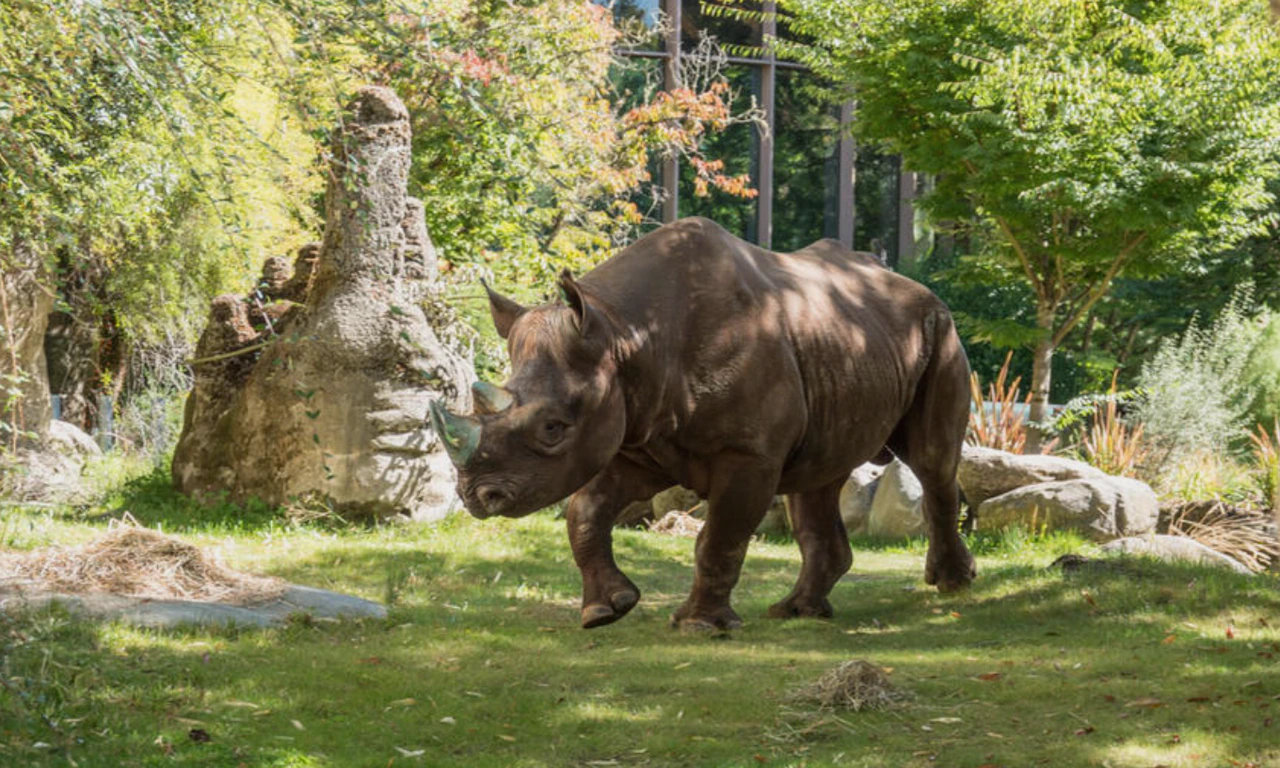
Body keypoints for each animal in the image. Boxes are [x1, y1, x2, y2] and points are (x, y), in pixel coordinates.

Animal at [430, 217, 975, 630]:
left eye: (552, 429)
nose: (477, 497)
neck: (624, 334)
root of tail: (917, 286)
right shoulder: (637, 436)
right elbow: (584, 511)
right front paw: (606, 610)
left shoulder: (748, 451)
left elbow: (719, 537)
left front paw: (698, 625)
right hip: (846, 344)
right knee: (817, 478)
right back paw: (795, 612)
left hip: (941, 328)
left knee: (931, 462)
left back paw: (952, 585)